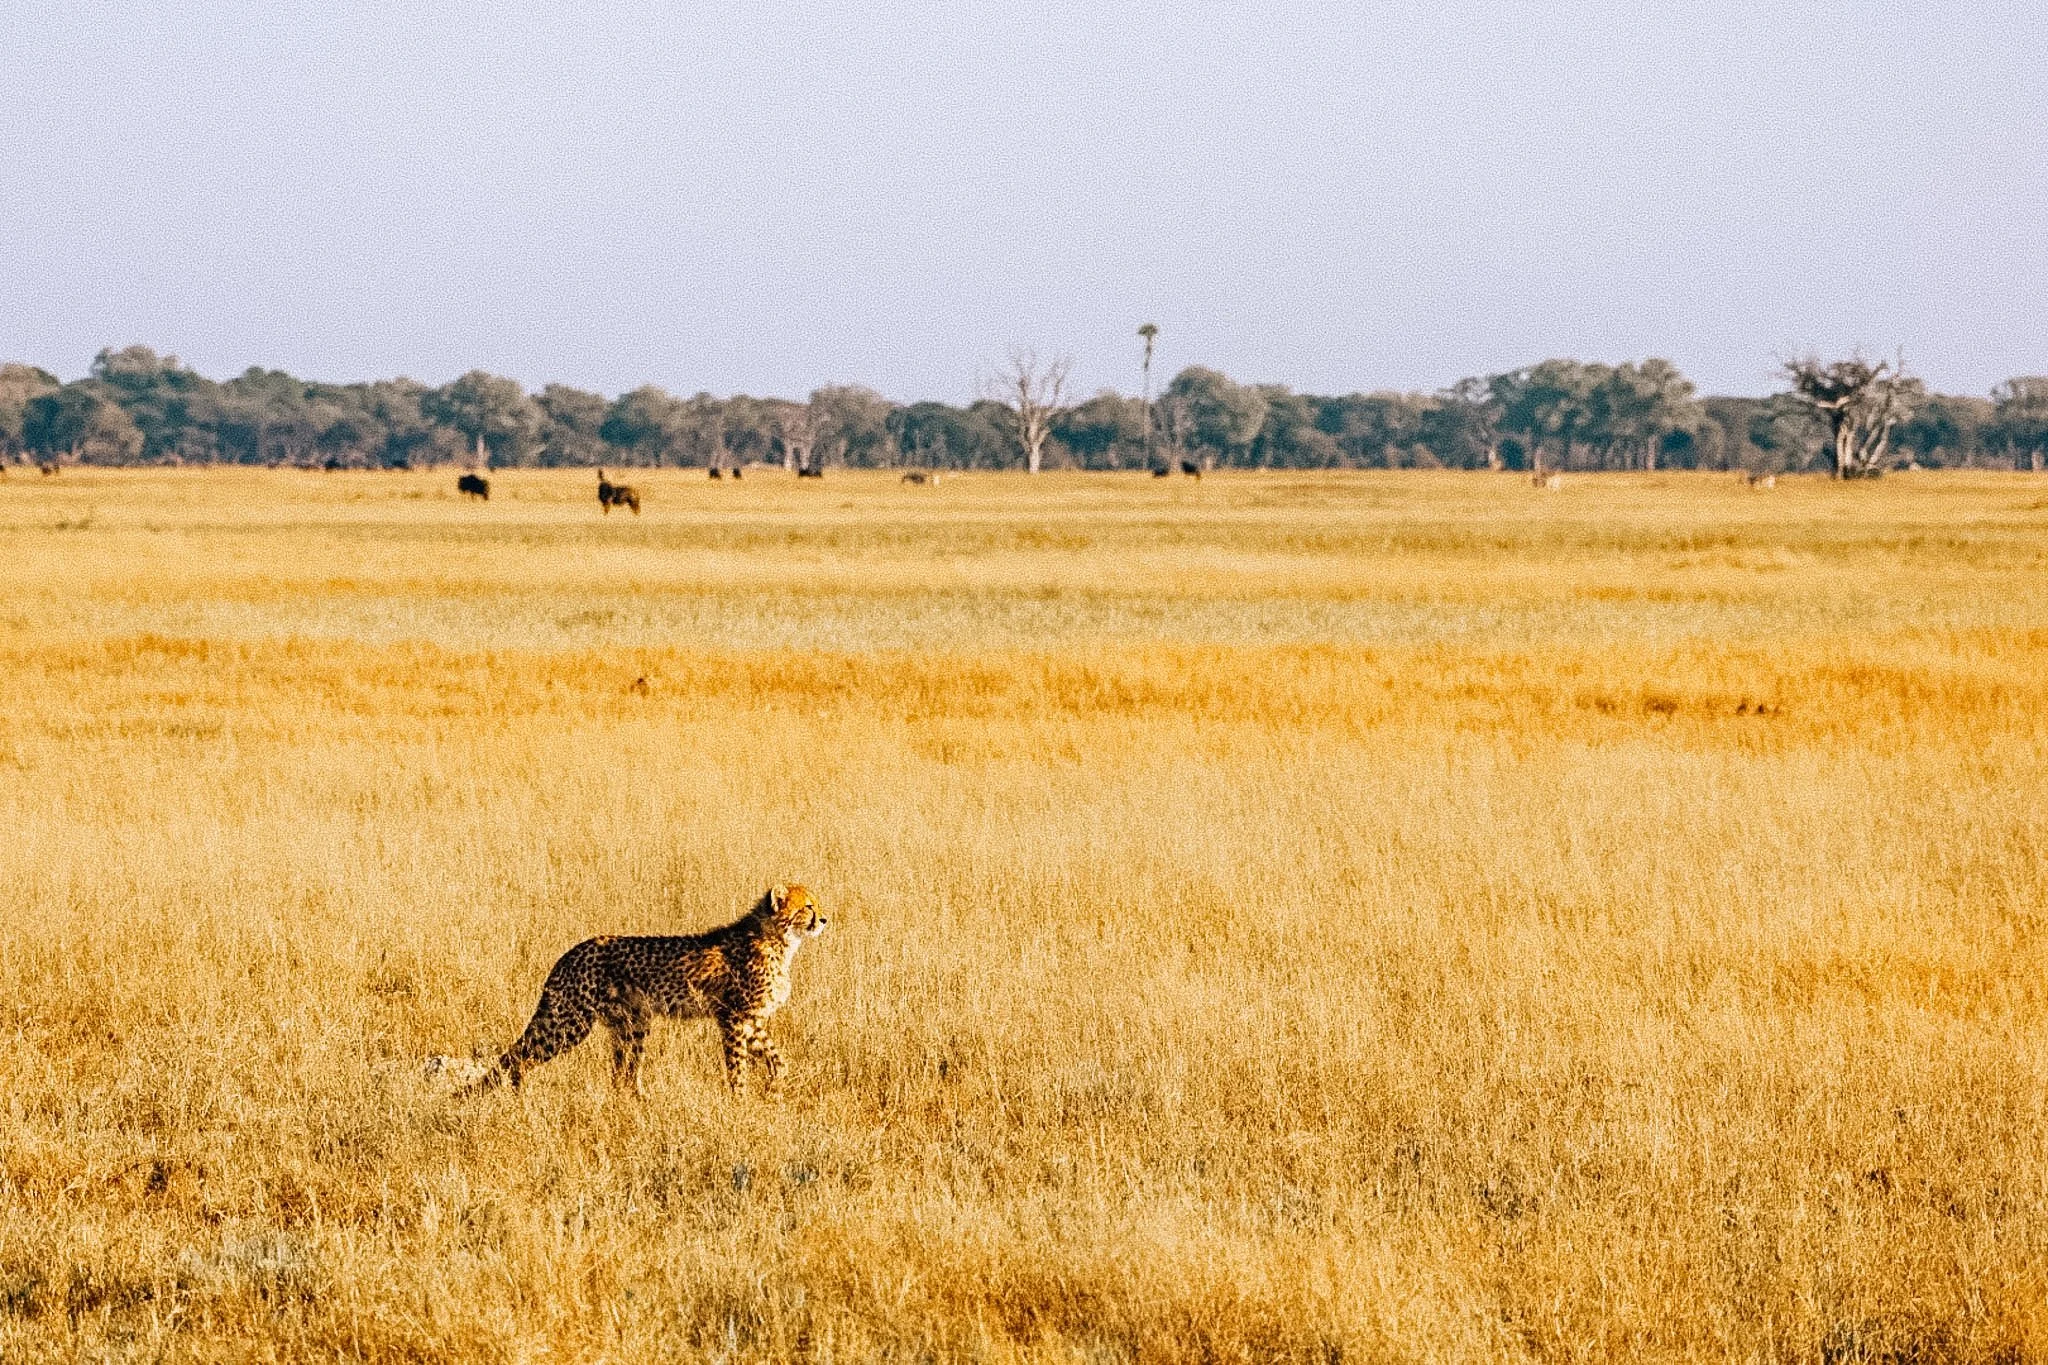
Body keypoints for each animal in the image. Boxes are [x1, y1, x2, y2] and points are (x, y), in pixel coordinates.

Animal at [463, 884, 827, 1097]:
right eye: (807, 906)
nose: (824, 918)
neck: (779, 940)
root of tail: (572, 952)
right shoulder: (733, 1017)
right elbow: (737, 1067)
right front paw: (739, 1102)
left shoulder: (752, 1020)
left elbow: (778, 1059)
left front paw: (774, 1089)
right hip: (569, 1023)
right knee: (520, 1057)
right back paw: (517, 1096)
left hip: (632, 1023)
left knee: (622, 1076)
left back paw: (637, 1101)